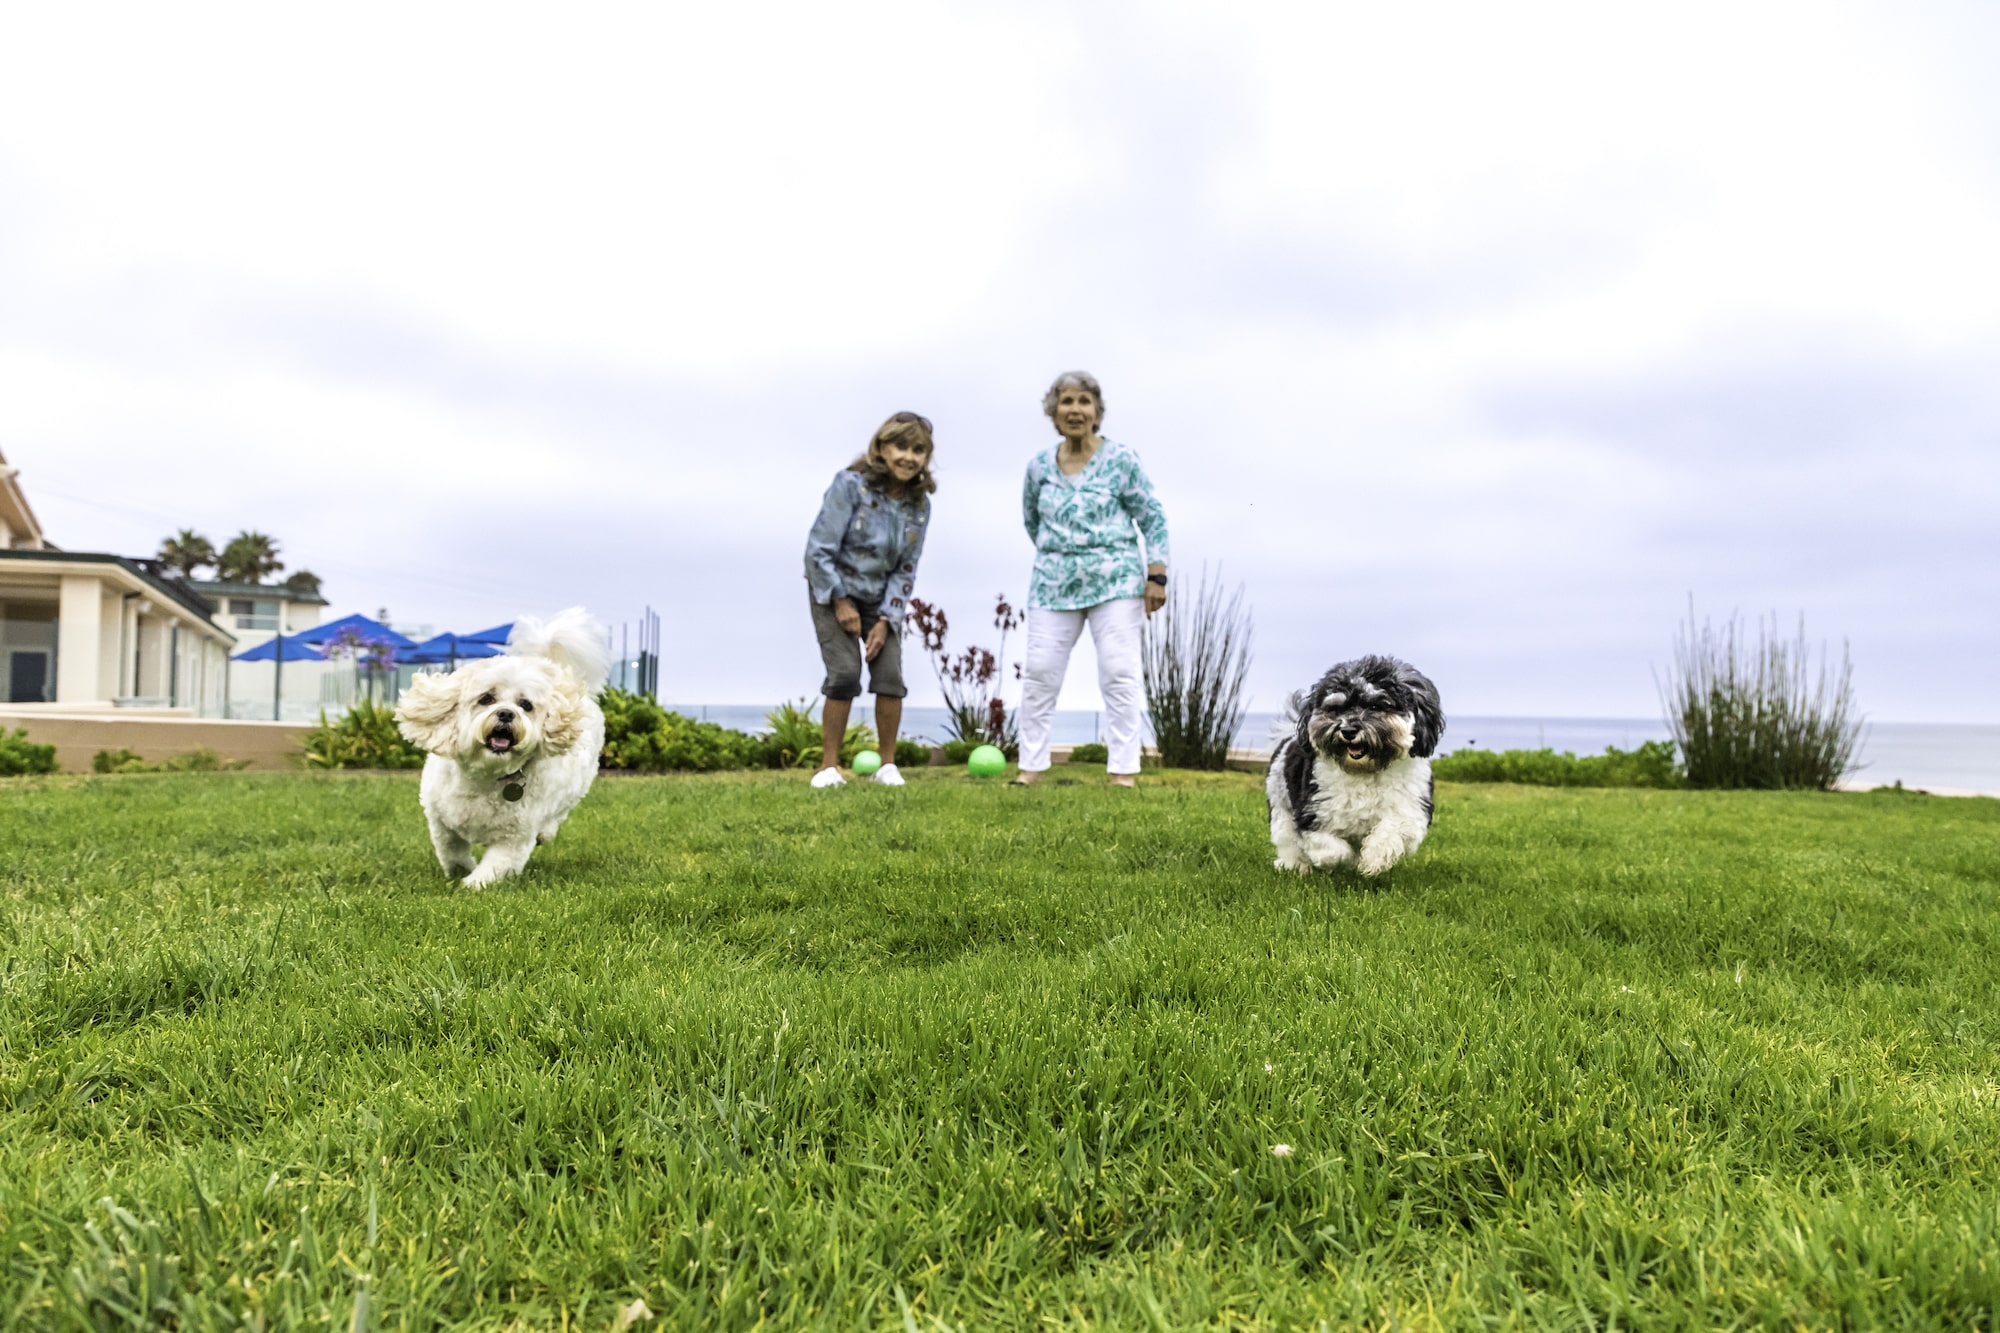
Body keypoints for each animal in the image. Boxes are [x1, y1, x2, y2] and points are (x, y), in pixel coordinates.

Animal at [390, 608, 604, 888]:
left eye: (525, 705)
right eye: (486, 698)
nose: (506, 713)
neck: (487, 775)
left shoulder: (514, 838)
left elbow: (495, 867)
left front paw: (471, 884)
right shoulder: (440, 822)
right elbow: (451, 851)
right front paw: (460, 871)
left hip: (576, 788)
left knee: (560, 812)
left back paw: (546, 832)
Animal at [1272, 652, 1448, 872]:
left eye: (1375, 706)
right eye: (1336, 709)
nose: (1348, 730)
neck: (1366, 771)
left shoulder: (1412, 808)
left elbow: (1394, 829)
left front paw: (1373, 858)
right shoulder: (1313, 813)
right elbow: (1333, 850)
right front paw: (1346, 860)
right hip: (1281, 804)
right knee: (1287, 839)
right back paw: (1296, 866)